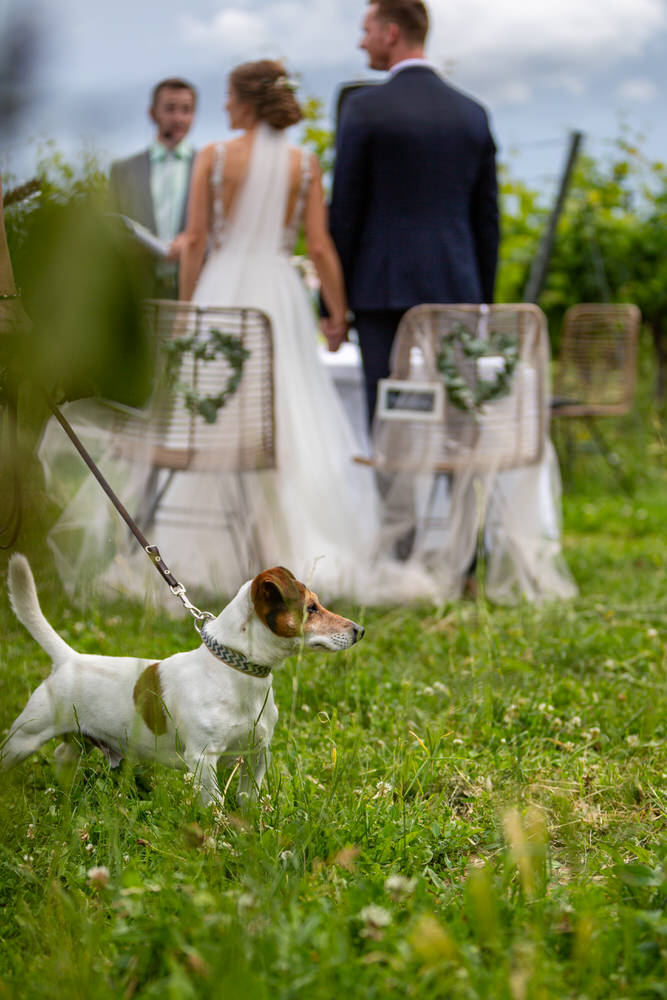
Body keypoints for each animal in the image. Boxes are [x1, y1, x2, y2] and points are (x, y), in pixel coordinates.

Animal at [1, 556, 366, 804]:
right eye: (312, 608)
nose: (359, 630)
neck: (235, 672)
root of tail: (69, 658)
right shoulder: (203, 759)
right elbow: (215, 804)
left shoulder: (257, 752)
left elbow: (249, 797)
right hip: (24, 738)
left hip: (77, 741)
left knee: (63, 756)